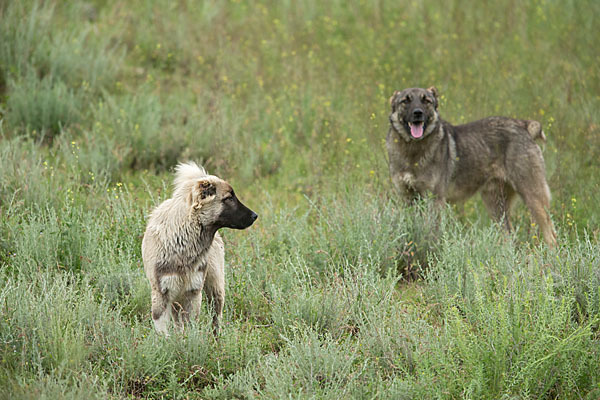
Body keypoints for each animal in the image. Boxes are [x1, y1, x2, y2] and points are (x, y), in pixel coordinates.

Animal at [390, 86, 556, 247]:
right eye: (405, 100)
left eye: (426, 101)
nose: (418, 113)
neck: (413, 151)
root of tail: (524, 125)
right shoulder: (407, 198)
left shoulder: (434, 200)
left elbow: (432, 233)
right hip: (496, 205)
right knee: (509, 237)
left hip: (532, 197)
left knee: (551, 235)